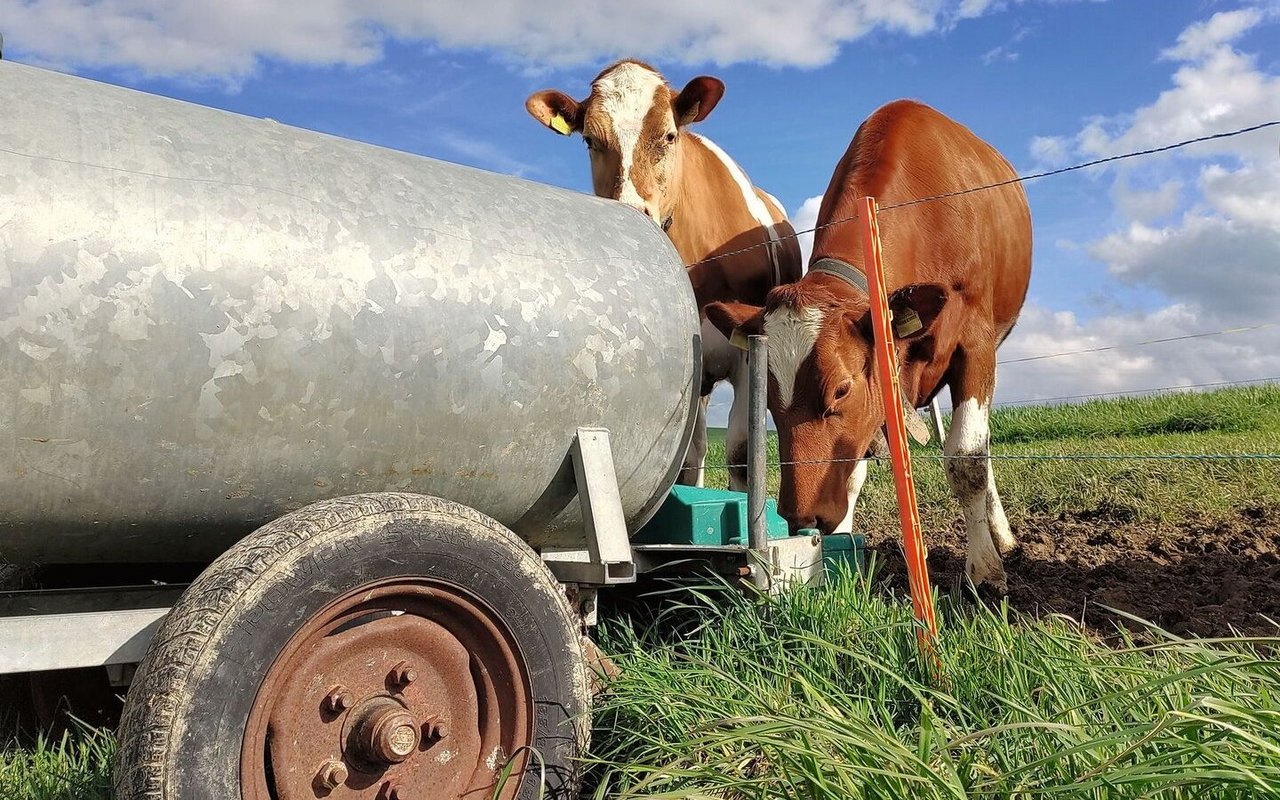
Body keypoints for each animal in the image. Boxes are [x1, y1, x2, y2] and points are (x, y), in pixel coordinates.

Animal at [524, 59, 793, 488]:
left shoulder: (749, 351)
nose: (633, 216)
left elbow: (741, 455)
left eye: (668, 135)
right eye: (590, 141)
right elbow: (685, 460)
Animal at [706, 99, 1034, 588]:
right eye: (767, 401)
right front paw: (836, 552)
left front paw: (984, 569)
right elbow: (851, 467)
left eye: (840, 389)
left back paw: (1001, 538)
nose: (801, 517)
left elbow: (968, 459)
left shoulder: (975, 346)